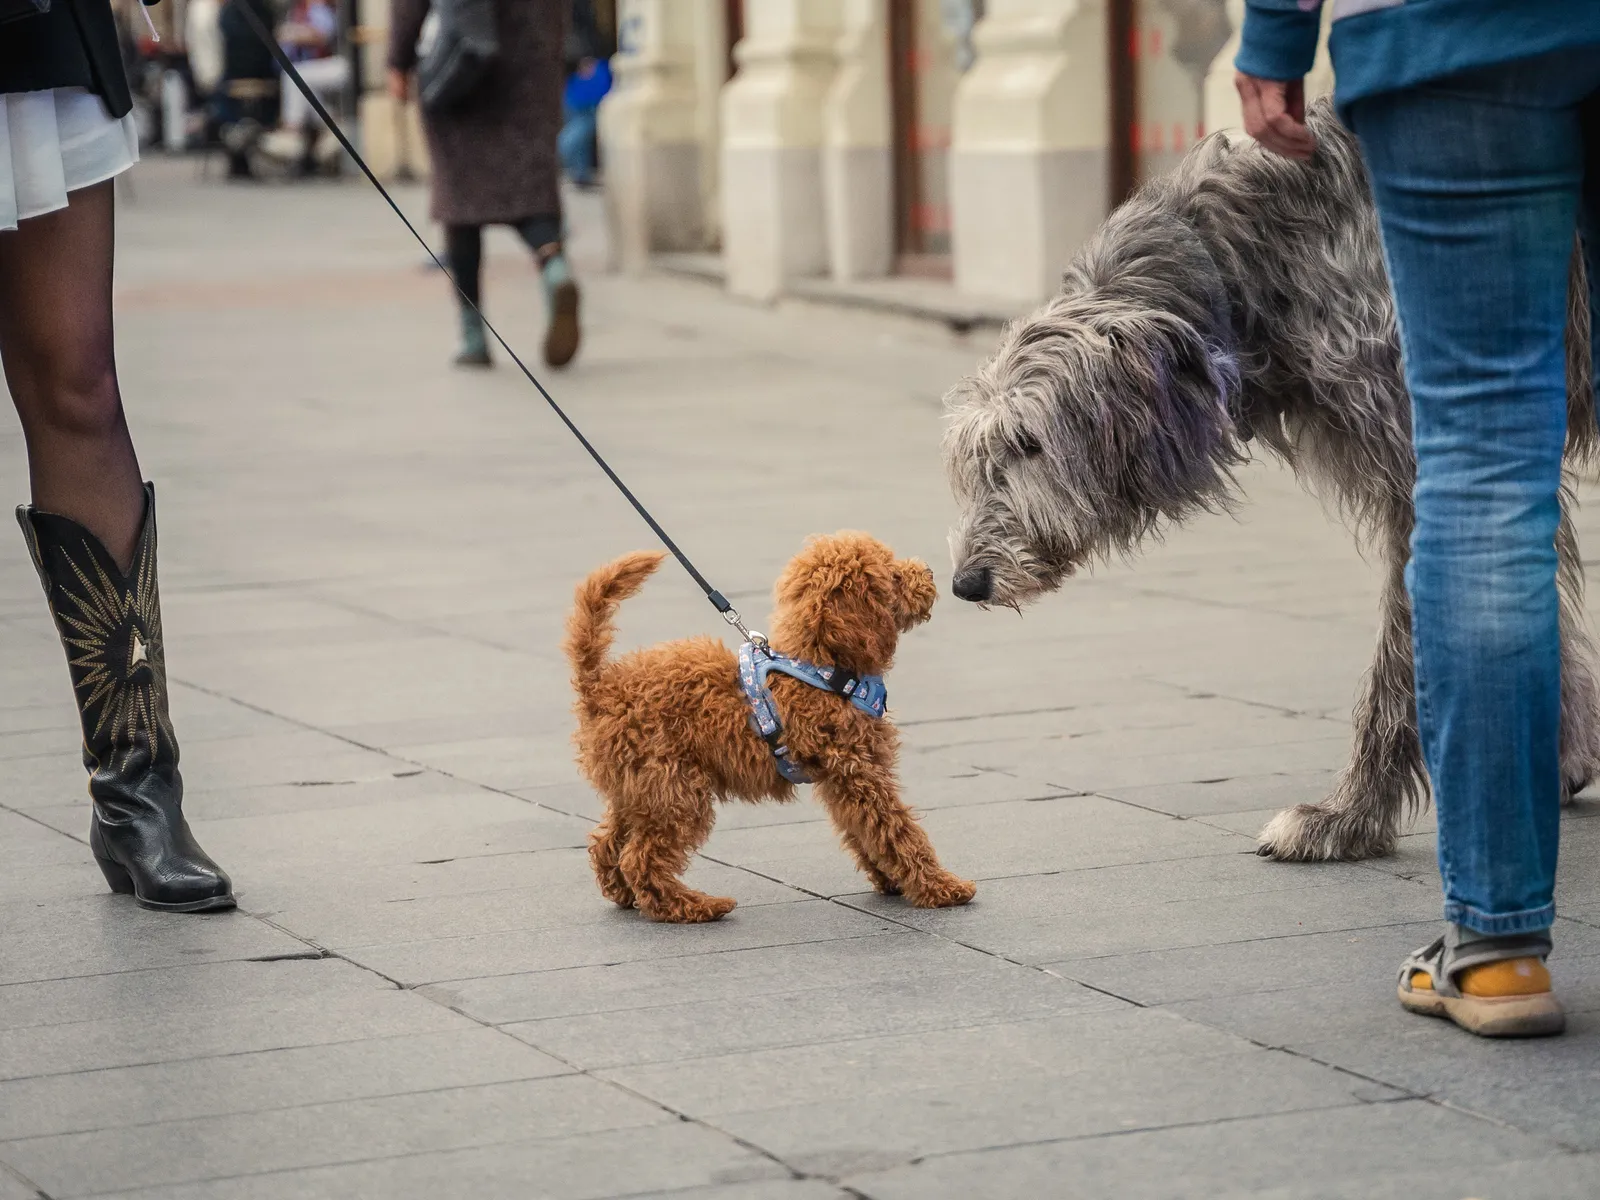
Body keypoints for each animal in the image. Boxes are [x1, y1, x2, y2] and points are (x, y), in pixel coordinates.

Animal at [940, 98, 1593, 857]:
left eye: (1029, 443)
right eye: (974, 462)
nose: (967, 583)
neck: (1245, 266)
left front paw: (1348, 816)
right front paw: (1559, 755)